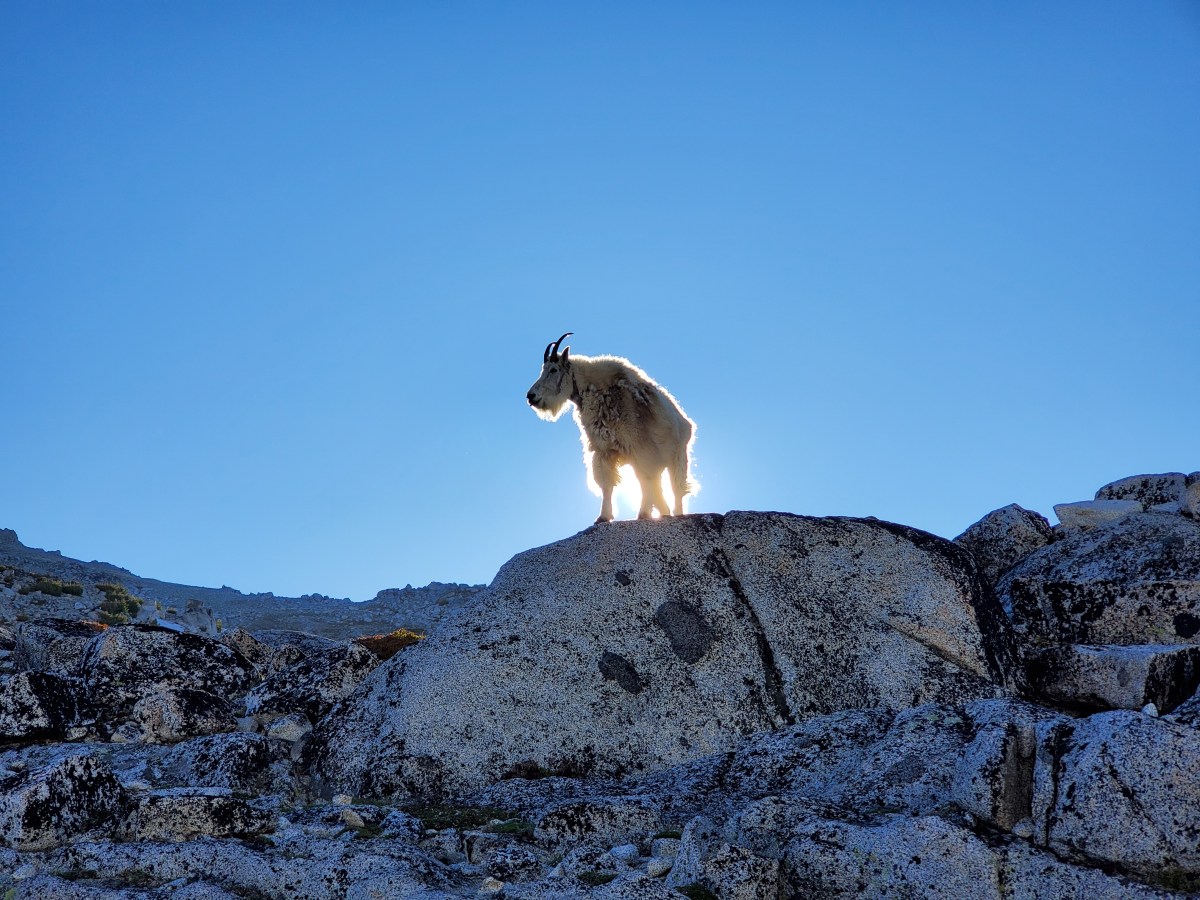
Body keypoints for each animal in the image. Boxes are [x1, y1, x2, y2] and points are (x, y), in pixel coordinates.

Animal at [527, 333, 697, 523]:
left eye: (554, 370)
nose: (530, 396)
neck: (596, 392)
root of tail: (684, 421)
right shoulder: (603, 450)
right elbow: (607, 484)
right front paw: (603, 516)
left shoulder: (639, 447)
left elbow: (645, 479)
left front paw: (643, 513)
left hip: (679, 455)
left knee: (676, 487)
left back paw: (676, 512)